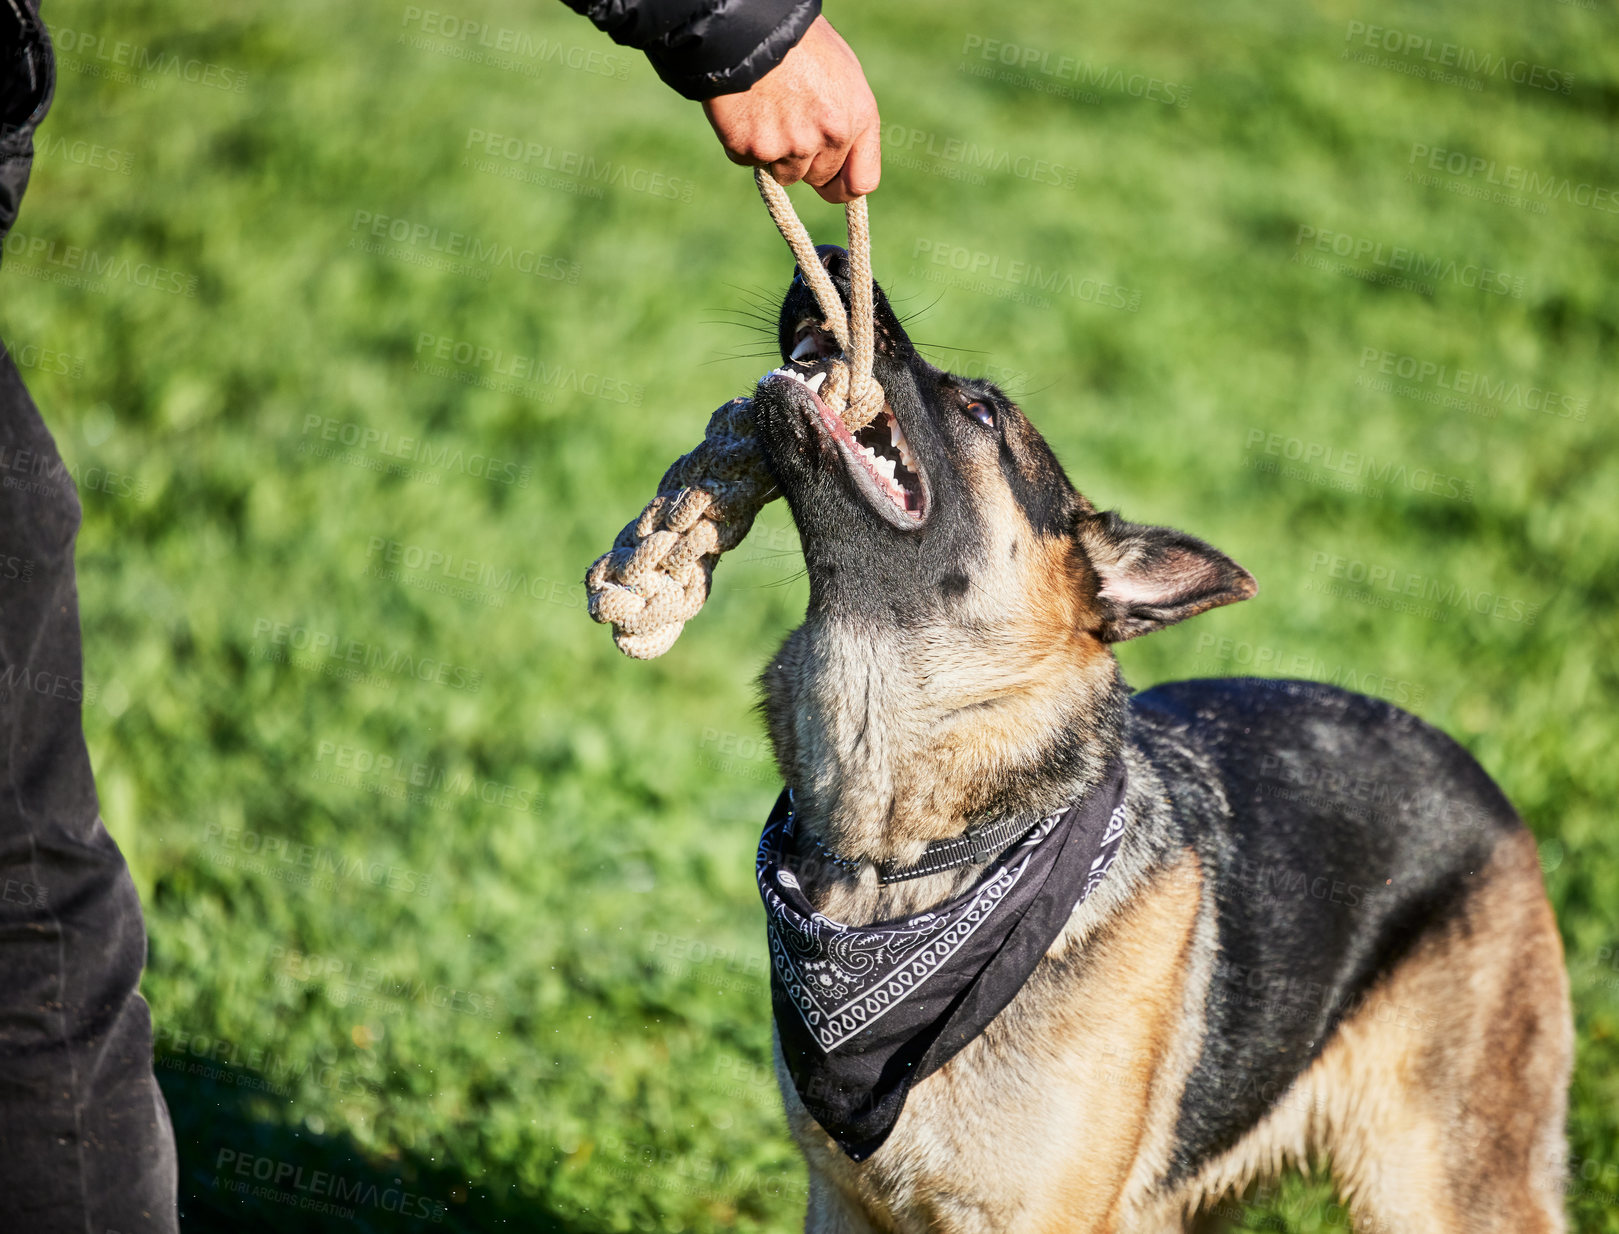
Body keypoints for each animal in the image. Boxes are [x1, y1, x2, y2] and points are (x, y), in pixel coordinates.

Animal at [741, 244, 1567, 1224]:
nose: (830, 255)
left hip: (1431, 1186)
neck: (899, 863)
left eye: (980, 411)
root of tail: (1476, 774)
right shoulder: (841, 1204)